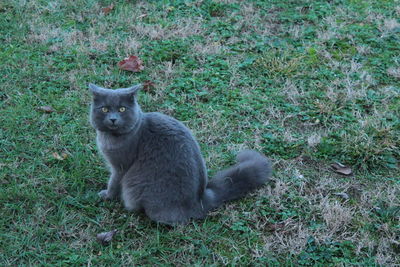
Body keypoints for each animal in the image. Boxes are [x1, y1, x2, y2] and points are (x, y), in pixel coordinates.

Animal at [89, 84, 274, 226]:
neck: (111, 138)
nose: (113, 119)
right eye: (104, 109)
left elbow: (114, 182)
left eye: (122, 109)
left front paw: (106, 196)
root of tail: (200, 199)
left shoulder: (120, 166)